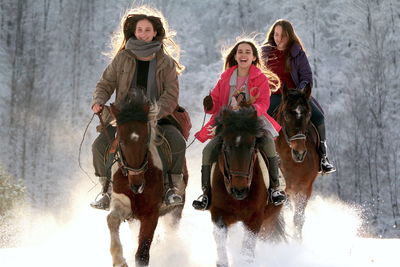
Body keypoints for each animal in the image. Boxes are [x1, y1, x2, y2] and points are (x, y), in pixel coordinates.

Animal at [106, 91, 188, 266]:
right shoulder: (122, 203)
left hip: (176, 209)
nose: (137, 184)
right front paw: (119, 260)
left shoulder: (151, 213)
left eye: (145, 140)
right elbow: (112, 219)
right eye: (121, 141)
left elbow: (142, 256)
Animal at [209, 107, 284, 267]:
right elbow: (221, 244)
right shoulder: (218, 214)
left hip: (269, 220)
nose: (239, 190)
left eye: (251, 147)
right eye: (226, 147)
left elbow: (247, 253)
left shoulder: (255, 219)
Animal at [276, 86, 318, 241]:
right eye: (286, 115)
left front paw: (297, 241)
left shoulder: (304, 188)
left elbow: (298, 219)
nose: (299, 152)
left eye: (308, 115)